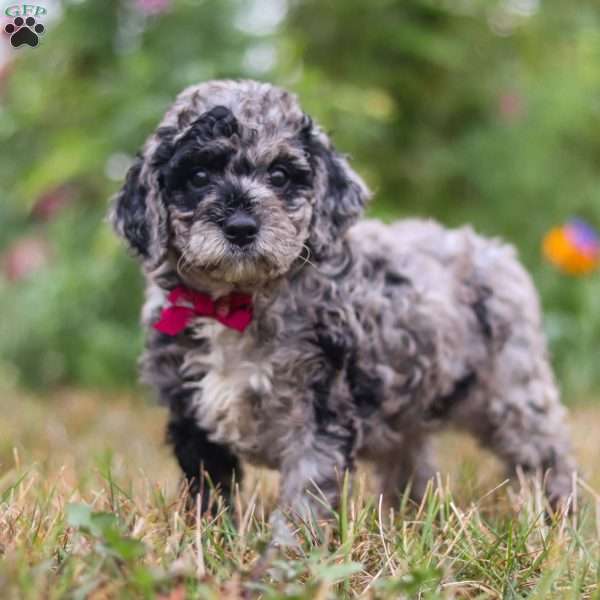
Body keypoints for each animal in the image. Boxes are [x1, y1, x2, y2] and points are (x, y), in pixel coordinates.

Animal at [111, 78, 576, 536]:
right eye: (198, 175)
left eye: (279, 175)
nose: (241, 227)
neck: (235, 304)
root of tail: (494, 249)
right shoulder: (191, 411)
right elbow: (208, 491)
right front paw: (208, 539)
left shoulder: (319, 411)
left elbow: (304, 495)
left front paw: (285, 553)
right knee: (410, 464)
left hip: (513, 390)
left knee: (547, 452)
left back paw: (557, 520)